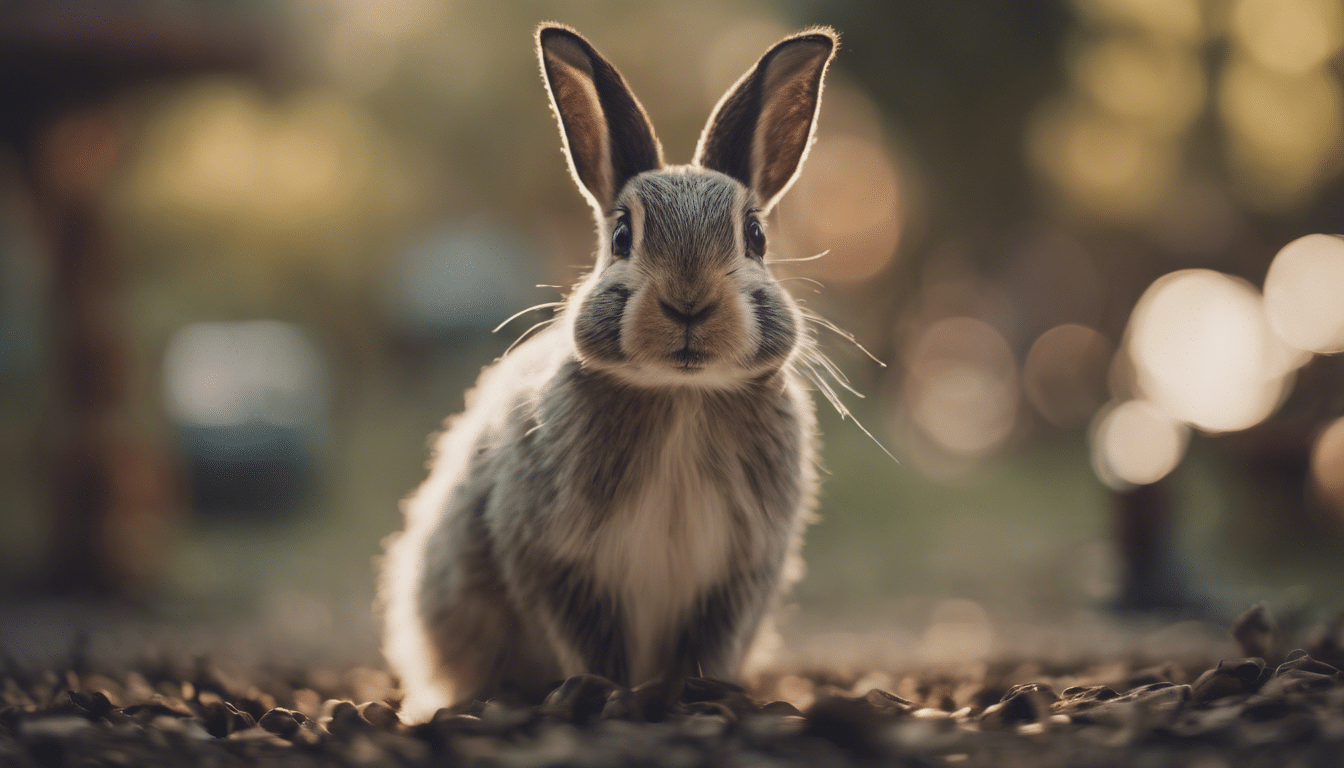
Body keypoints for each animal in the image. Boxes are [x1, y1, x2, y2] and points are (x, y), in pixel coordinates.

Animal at [379, 22, 833, 720]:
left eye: (755, 235)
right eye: (622, 235)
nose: (689, 301)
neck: (681, 393)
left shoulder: (740, 571)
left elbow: (707, 643)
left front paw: (699, 692)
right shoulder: (555, 559)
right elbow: (591, 639)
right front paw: (605, 692)